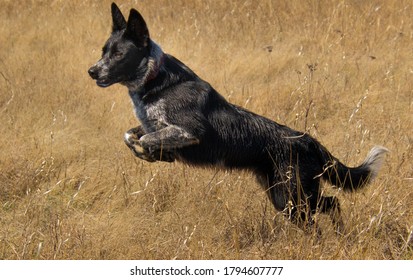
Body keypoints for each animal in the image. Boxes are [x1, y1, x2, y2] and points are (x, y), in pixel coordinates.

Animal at [87, 2, 386, 234]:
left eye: (119, 54)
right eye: (103, 51)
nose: (91, 71)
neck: (154, 77)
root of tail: (310, 141)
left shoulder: (190, 131)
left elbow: (149, 138)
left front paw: (156, 153)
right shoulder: (151, 125)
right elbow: (130, 134)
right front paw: (151, 153)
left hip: (291, 197)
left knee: (322, 216)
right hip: (284, 195)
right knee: (332, 204)